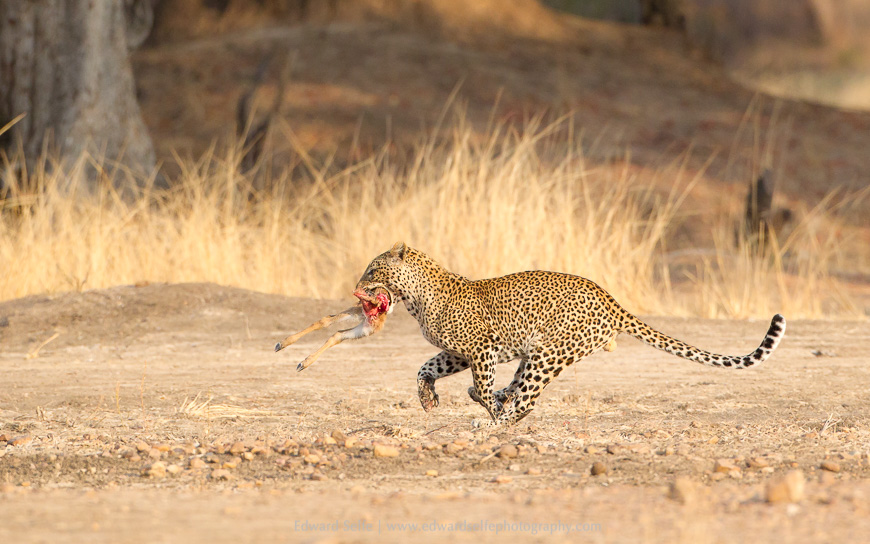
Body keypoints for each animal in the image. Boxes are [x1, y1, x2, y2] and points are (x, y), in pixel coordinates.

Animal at [355, 242, 787, 427]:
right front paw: (428, 398)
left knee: (527, 399)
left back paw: (497, 421)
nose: (357, 286)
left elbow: (478, 385)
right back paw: (503, 401)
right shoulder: (459, 352)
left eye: (373, 270)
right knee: (520, 391)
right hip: (536, 353)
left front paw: (488, 409)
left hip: (549, 352)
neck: (414, 299)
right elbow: (425, 368)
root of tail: (609, 298)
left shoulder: (481, 349)